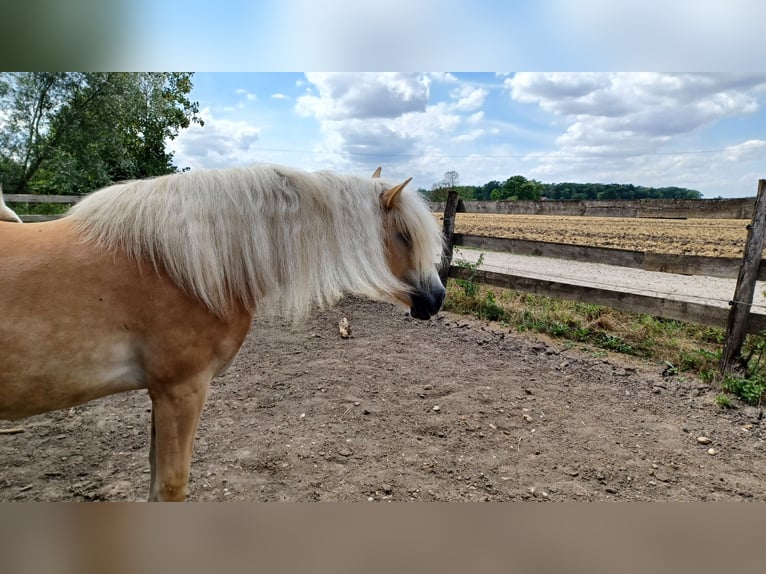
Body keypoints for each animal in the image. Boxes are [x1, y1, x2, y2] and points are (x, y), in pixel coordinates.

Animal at [0, 164, 448, 502]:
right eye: (404, 235)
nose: (438, 297)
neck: (179, 265)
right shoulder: (181, 390)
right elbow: (171, 485)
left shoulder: (160, 393)